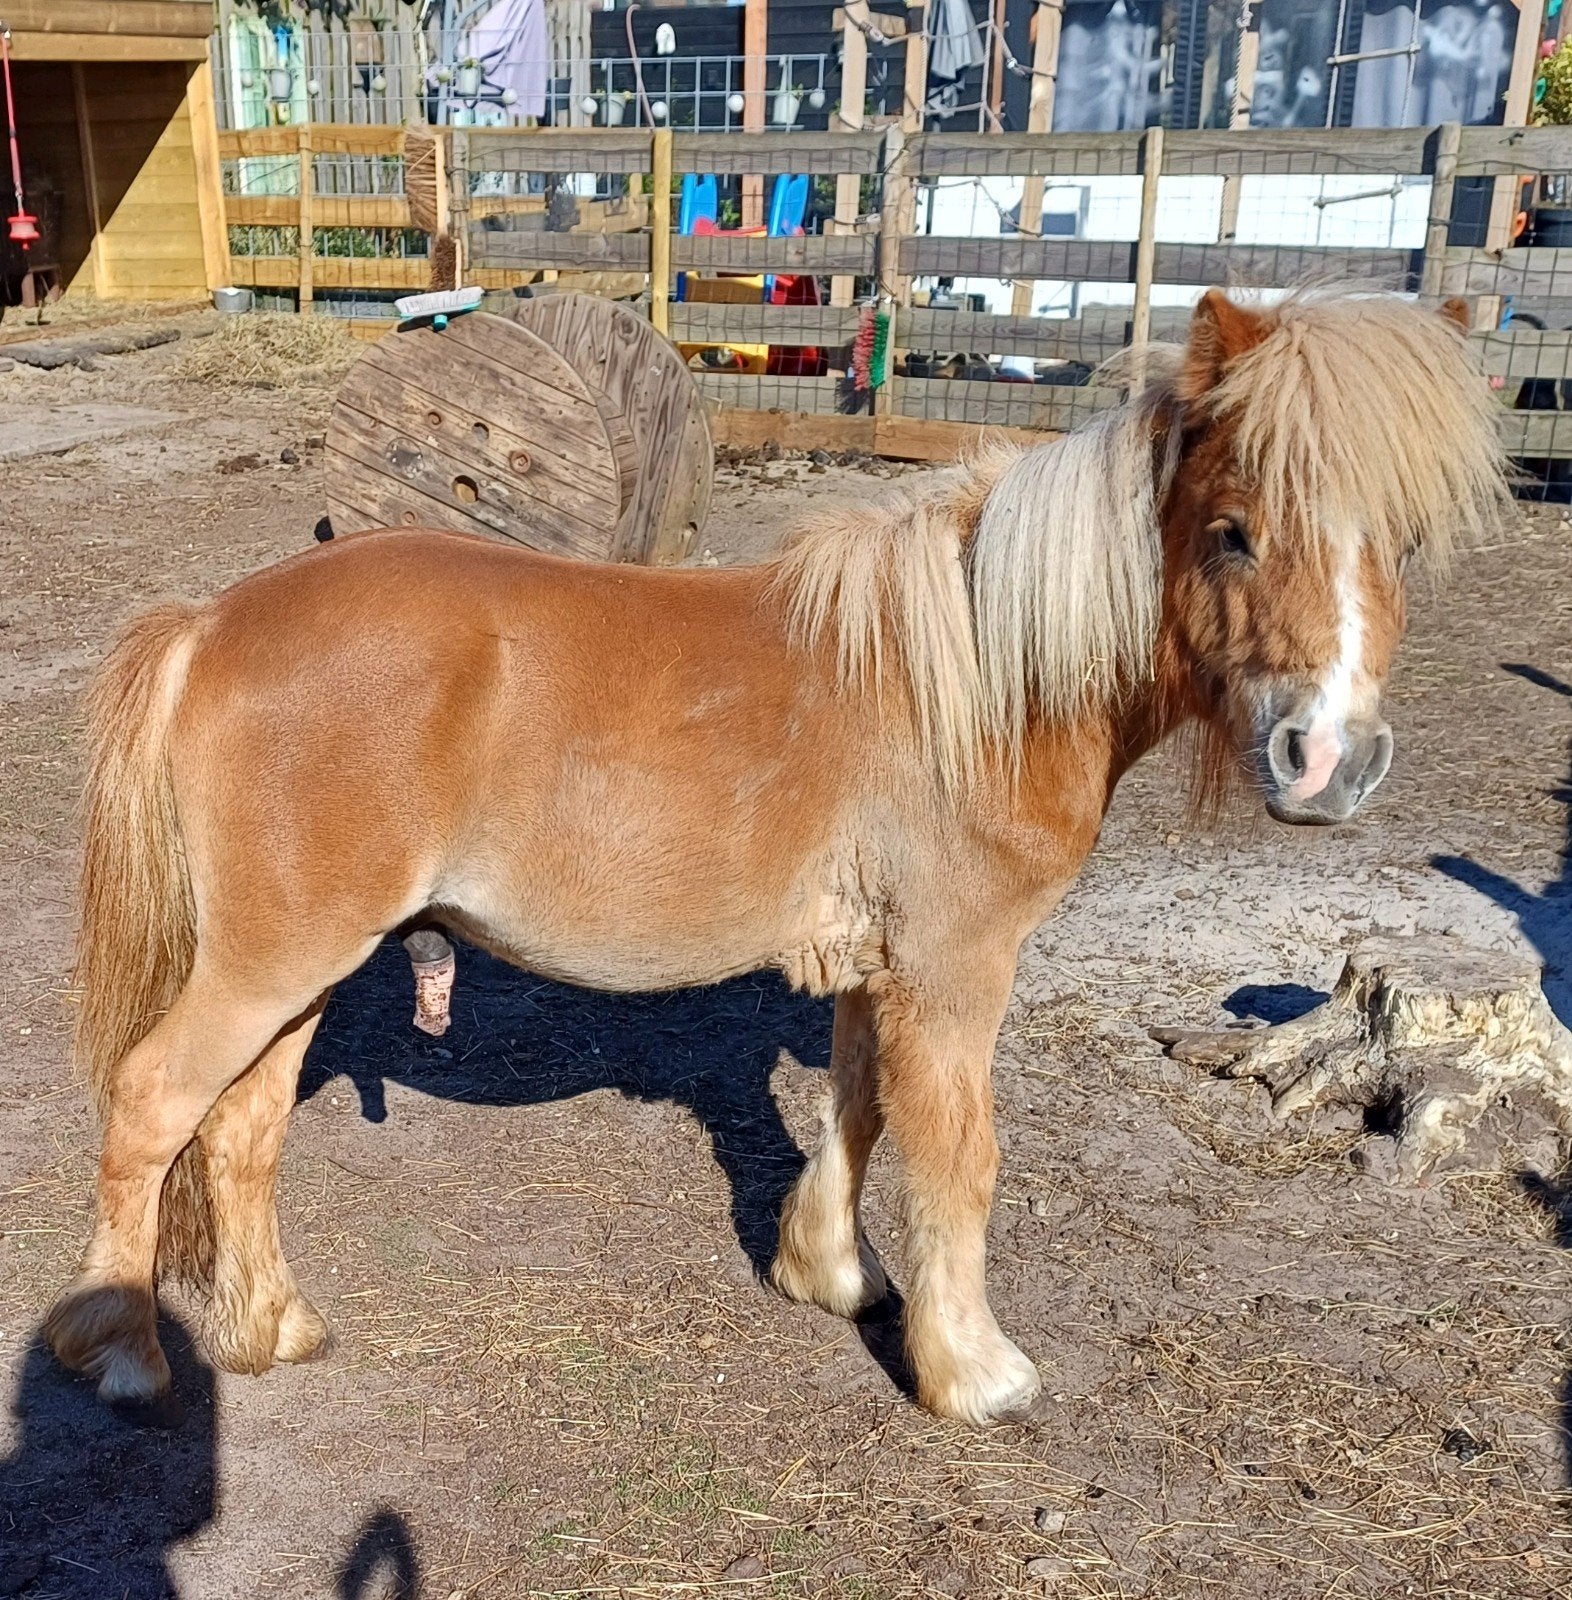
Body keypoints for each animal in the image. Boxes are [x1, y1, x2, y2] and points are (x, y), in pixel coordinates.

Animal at [45, 288, 1506, 1426]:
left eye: (1399, 541)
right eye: (1234, 530)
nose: (1331, 760)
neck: (981, 677)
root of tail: (211, 624)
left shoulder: (877, 973)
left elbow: (859, 1109)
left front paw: (831, 1275)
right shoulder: (955, 972)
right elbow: (960, 1155)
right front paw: (972, 1370)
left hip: (297, 973)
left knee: (236, 1132)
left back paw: (269, 1329)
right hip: (269, 963)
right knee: (151, 1105)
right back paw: (121, 1354)